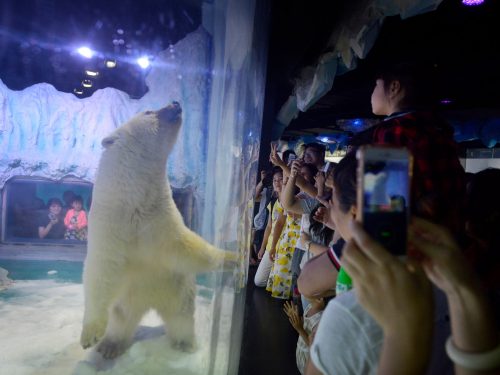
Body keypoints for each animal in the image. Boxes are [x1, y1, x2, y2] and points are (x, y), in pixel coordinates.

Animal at [80, 101, 236, 360]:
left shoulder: (161, 218)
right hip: (129, 301)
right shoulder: (110, 223)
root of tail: (149, 304)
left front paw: (233, 258)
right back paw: (110, 346)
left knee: (181, 318)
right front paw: (90, 335)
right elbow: (101, 269)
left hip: (177, 292)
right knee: (120, 321)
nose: (176, 103)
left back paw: (184, 344)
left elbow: (187, 247)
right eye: (148, 111)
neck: (134, 203)